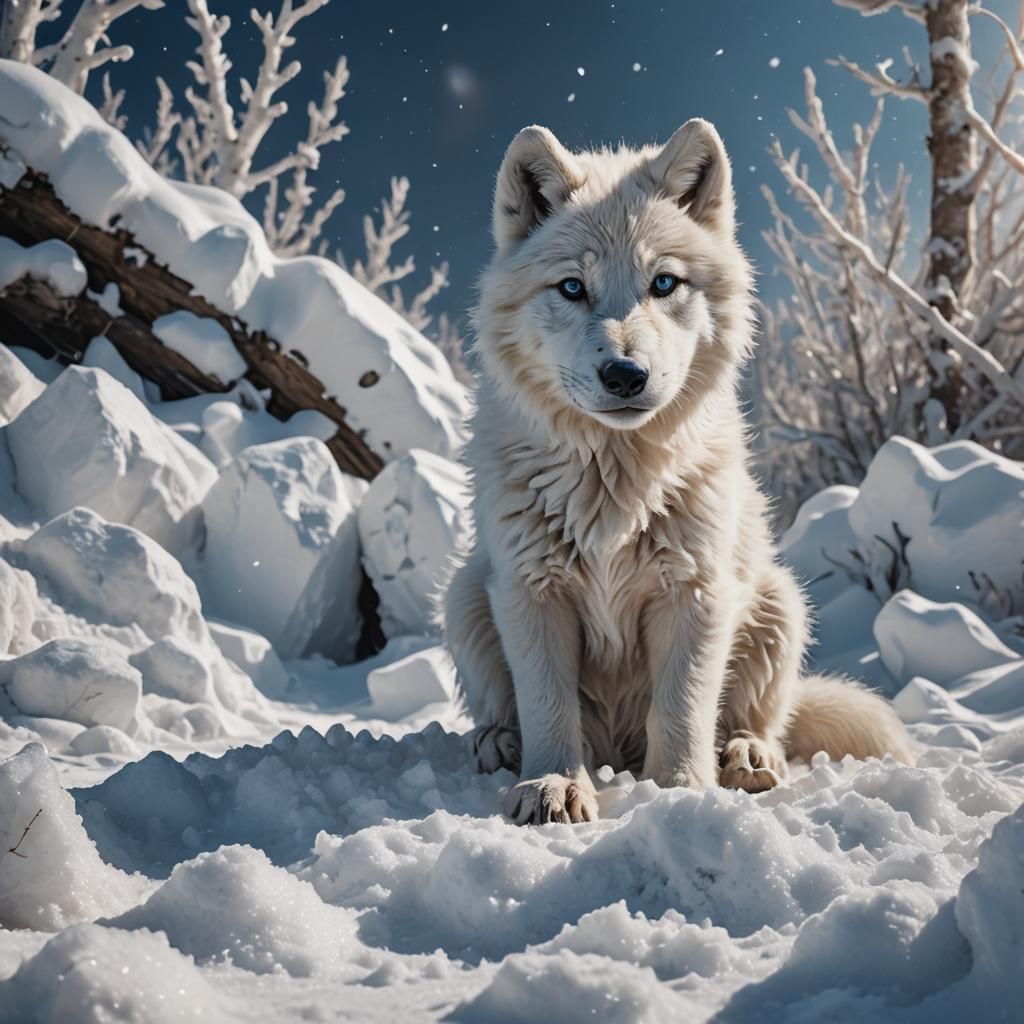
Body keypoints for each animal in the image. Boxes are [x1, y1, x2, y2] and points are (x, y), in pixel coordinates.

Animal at [444, 119, 912, 825]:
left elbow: (685, 709)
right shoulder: (532, 590)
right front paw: (554, 786)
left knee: (760, 721)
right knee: (506, 708)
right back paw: (499, 744)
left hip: (778, 600)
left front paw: (681, 794)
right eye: (572, 287)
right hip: (467, 594)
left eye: (663, 283)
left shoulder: (693, 594)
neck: (613, 482)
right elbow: (548, 708)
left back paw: (746, 758)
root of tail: (618, 748)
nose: (624, 374)